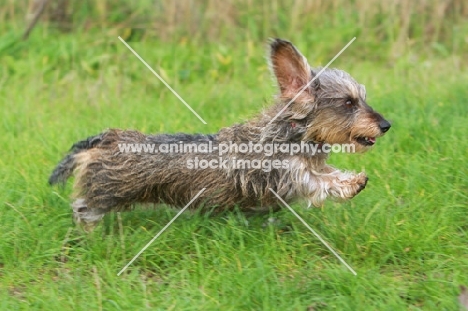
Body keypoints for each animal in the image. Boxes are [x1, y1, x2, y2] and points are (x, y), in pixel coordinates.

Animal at [49, 37, 390, 230]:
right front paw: (350, 184)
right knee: (83, 208)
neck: (291, 135)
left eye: (362, 97)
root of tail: (106, 138)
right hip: (106, 192)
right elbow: (320, 182)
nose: (386, 125)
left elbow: (327, 171)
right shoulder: (287, 178)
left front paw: (350, 177)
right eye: (348, 102)